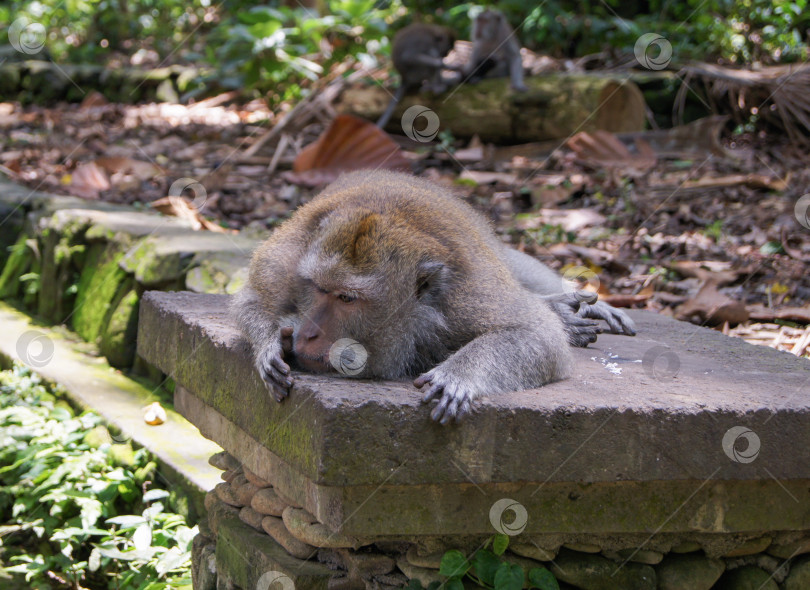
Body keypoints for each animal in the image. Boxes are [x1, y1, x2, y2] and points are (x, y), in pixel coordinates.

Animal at [230, 171, 636, 426]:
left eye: (346, 298)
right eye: (316, 288)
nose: (309, 333)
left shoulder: (465, 294)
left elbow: (538, 335)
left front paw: (458, 375)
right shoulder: (282, 266)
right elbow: (250, 300)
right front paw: (271, 345)